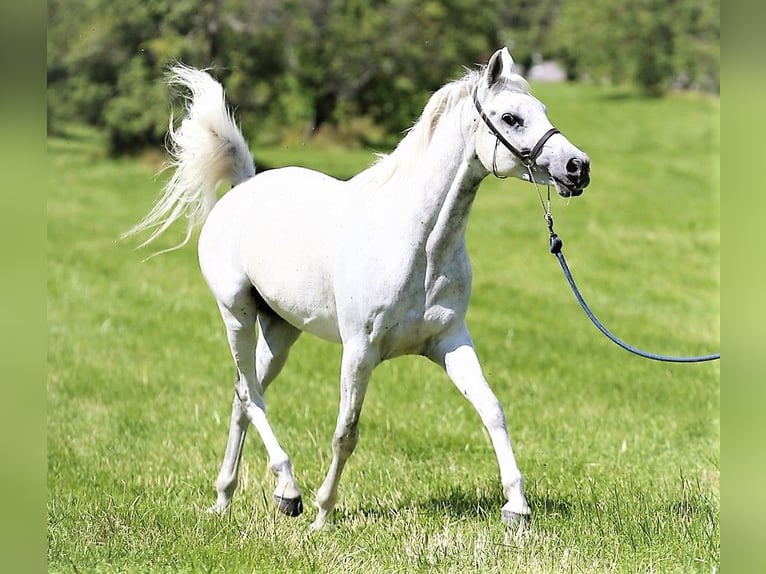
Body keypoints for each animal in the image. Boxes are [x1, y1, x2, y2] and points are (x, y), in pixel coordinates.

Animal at [129, 48, 592, 532]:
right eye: (511, 117)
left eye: (542, 111)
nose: (578, 167)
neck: (417, 243)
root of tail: (243, 187)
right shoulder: (359, 351)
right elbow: (346, 432)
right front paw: (323, 513)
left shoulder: (450, 341)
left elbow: (492, 410)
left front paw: (516, 508)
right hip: (236, 316)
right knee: (251, 396)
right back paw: (289, 491)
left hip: (281, 331)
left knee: (243, 394)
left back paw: (228, 496)